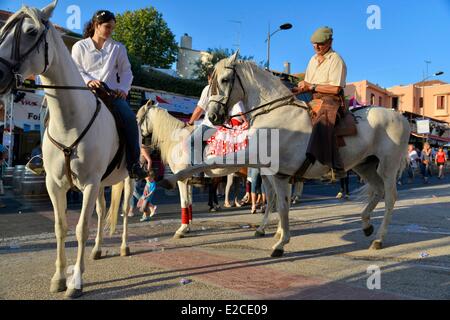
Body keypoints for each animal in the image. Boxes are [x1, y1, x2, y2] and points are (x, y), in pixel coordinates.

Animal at [0, 1, 133, 298]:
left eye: (30, 32)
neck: (71, 120)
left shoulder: (89, 183)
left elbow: (81, 228)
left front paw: (76, 283)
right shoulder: (55, 184)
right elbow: (61, 227)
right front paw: (59, 278)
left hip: (129, 179)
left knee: (124, 210)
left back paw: (123, 246)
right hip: (103, 183)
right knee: (103, 209)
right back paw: (97, 250)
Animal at [161, 52, 412, 258]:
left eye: (224, 80)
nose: (213, 116)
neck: (274, 114)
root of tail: (400, 117)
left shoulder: (266, 166)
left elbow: (276, 203)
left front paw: (281, 243)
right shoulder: (274, 171)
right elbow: (279, 203)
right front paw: (279, 236)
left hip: (387, 167)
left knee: (390, 197)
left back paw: (379, 238)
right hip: (364, 165)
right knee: (377, 191)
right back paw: (366, 224)